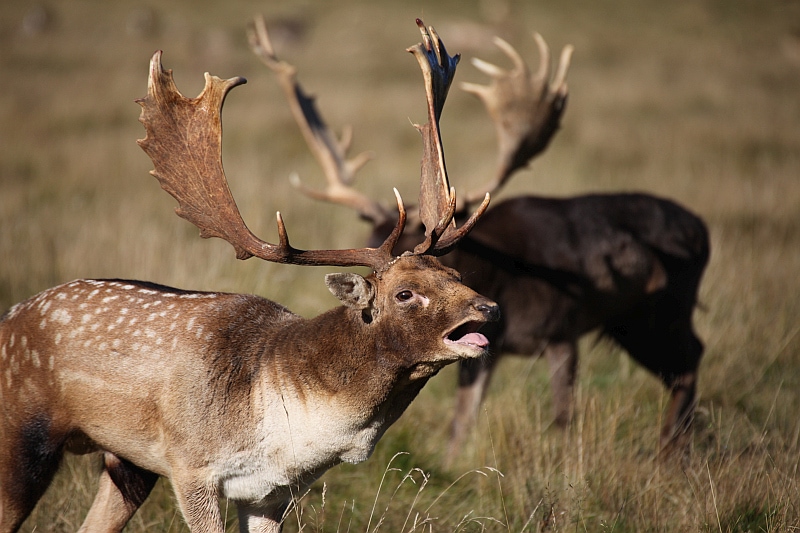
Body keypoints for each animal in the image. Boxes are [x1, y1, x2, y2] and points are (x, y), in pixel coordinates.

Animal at [0, 20, 501, 533]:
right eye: (404, 293)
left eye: (454, 271)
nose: (488, 307)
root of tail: (9, 317)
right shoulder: (191, 465)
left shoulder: (271, 493)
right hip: (20, 433)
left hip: (127, 463)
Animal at [248, 16, 710, 461]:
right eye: (371, 235)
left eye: (423, 261)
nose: (488, 308)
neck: (502, 277)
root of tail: (703, 230)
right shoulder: (486, 348)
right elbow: (462, 419)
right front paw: (453, 464)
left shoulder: (562, 327)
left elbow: (563, 417)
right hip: (630, 322)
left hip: (662, 309)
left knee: (690, 360)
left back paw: (672, 451)